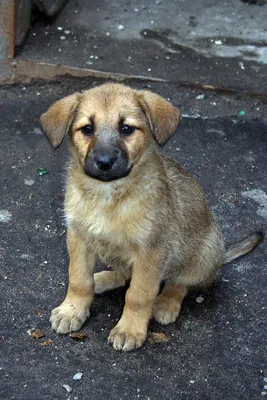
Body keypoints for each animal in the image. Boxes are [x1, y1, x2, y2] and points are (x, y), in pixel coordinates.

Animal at [40, 83, 264, 350]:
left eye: (126, 129)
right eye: (87, 129)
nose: (104, 162)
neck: (109, 196)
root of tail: (221, 257)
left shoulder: (151, 250)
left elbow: (139, 294)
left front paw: (129, 329)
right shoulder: (79, 237)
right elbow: (79, 280)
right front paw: (72, 310)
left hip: (204, 251)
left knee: (180, 282)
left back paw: (166, 302)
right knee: (124, 274)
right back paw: (103, 279)